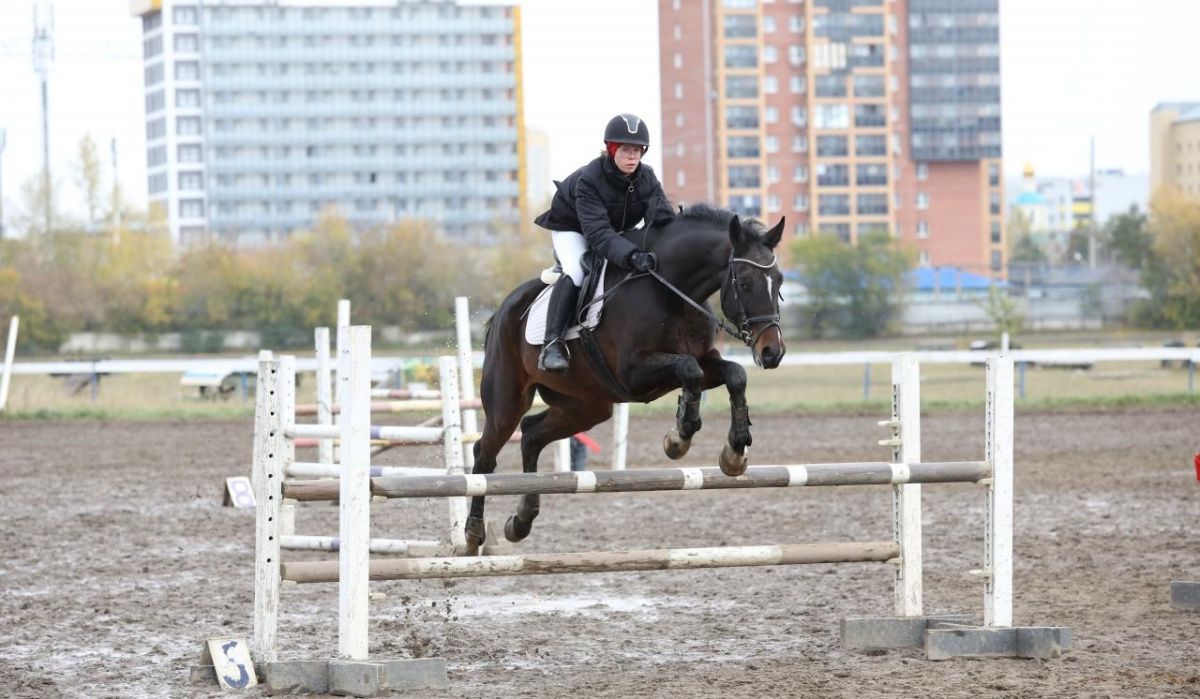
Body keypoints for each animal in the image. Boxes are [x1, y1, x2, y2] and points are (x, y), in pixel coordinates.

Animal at [465, 205, 787, 557]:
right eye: (744, 283)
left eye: (779, 280)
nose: (772, 352)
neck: (671, 290)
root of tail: (504, 308)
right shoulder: (634, 374)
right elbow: (690, 371)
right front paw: (679, 437)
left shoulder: (702, 361)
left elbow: (733, 374)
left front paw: (734, 453)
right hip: (507, 402)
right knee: (485, 454)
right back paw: (473, 533)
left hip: (587, 406)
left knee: (532, 435)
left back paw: (522, 520)